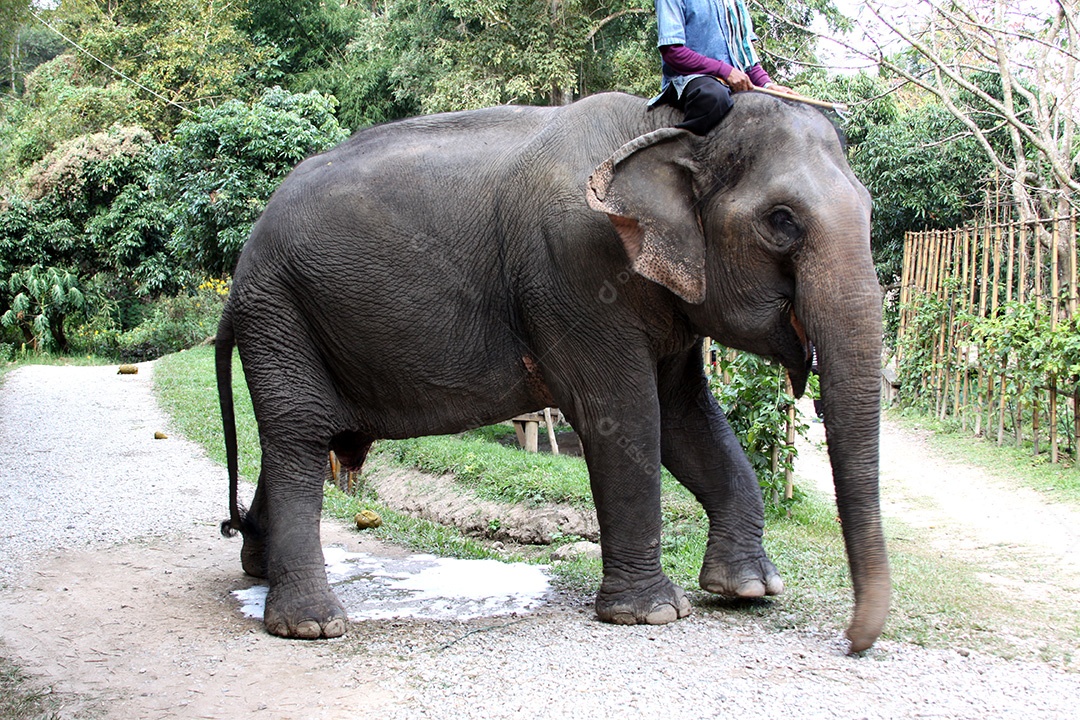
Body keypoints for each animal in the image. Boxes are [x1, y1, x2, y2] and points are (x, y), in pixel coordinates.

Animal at [216, 90, 889, 652]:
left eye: (868, 207)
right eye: (782, 221)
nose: (854, 644)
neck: (669, 125)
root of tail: (240, 269)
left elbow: (686, 418)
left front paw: (748, 590)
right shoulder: (575, 270)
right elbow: (624, 416)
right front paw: (651, 615)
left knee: (301, 438)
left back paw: (258, 567)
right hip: (278, 311)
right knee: (299, 434)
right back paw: (311, 625)